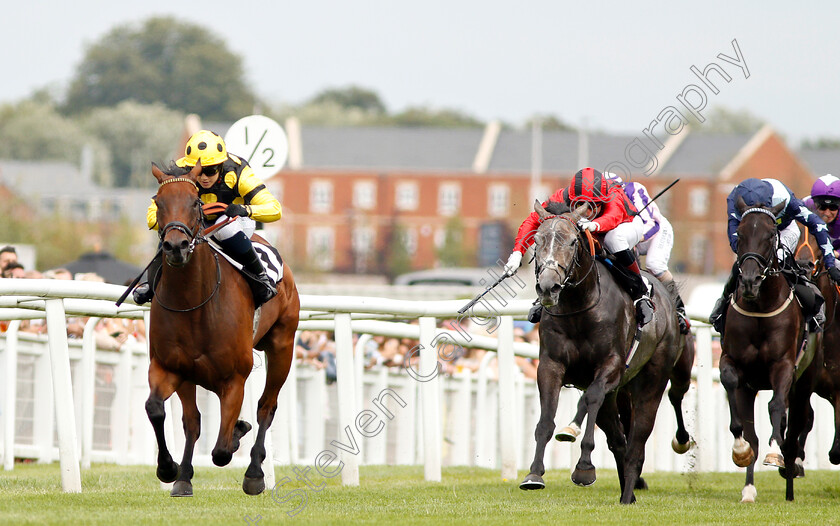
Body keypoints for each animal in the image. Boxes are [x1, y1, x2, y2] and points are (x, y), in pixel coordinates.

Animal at [146, 163, 300, 498]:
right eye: (158, 202)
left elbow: (220, 451)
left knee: (266, 407)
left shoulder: (235, 379)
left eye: (195, 203)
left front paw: (238, 435)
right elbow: (160, 410)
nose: (175, 247)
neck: (194, 303)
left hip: (283, 345)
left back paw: (255, 472)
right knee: (193, 421)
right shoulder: (170, 368)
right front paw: (171, 470)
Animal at [520, 200, 684, 506]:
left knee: (637, 440)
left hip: (652, 380)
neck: (579, 308)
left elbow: (591, 398)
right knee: (619, 440)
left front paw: (584, 468)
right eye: (537, 241)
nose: (548, 287)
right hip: (617, 394)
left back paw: (629, 491)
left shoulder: (611, 366)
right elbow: (546, 419)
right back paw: (627, 493)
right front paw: (534, 474)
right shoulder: (550, 365)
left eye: (573, 242)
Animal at [720, 198, 824, 504]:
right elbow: (741, 419)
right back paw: (750, 488)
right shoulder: (735, 365)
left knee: (797, 425)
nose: (750, 281)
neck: (760, 307)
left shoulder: (783, 366)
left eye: (769, 235)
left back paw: (790, 478)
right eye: (740, 234)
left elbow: (776, 407)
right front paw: (740, 451)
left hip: (804, 384)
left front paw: (773, 452)